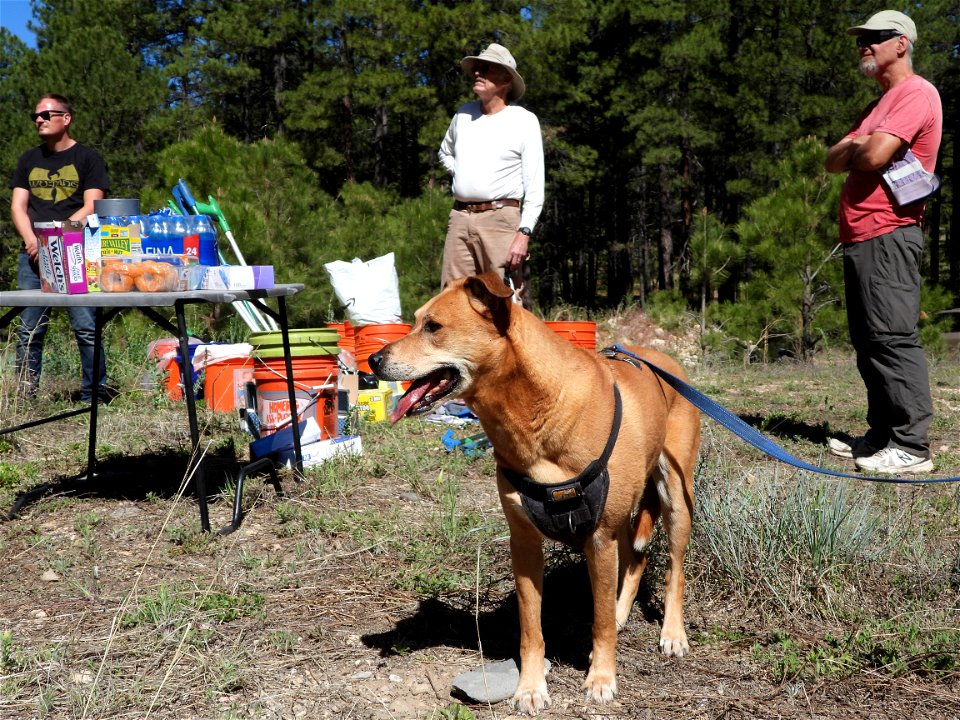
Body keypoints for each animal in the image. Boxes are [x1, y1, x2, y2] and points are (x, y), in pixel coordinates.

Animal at [372, 274, 700, 716]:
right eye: (416, 321)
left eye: (433, 326)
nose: (373, 361)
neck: (534, 413)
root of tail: (665, 361)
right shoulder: (525, 541)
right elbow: (531, 628)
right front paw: (530, 687)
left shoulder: (599, 537)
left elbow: (597, 622)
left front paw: (601, 678)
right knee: (636, 558)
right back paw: (621, 612)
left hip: (675, 498)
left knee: (674, 569)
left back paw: (672, 633)